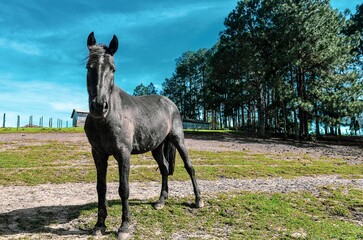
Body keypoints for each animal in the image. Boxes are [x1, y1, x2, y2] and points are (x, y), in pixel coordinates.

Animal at [85, 32, 205, 240]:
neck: (108, 118)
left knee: (189, 167)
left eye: (113, 69)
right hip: (157, 147)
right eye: (88, 66)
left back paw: (198, 200)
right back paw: (161, 201)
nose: (99, 106)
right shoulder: (98, 154)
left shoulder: (123, 154)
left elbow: (124, 189)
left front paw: (124, 226)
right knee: (164, 169)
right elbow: (101, 188)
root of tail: (170, 104)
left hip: (178, 140)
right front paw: (99, 225)